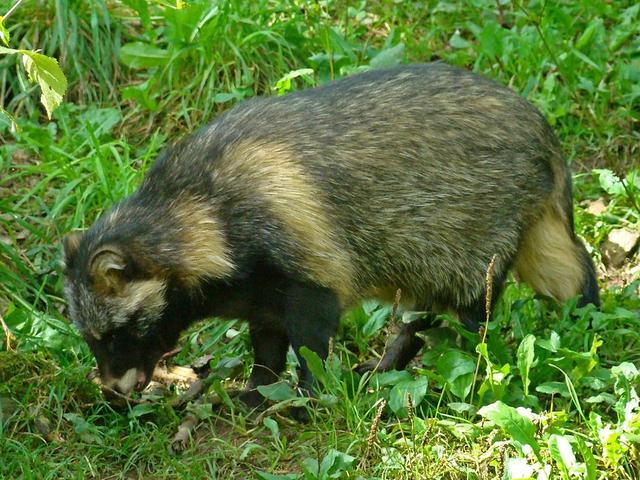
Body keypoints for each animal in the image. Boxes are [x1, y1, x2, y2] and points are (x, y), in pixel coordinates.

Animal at [62, 62, 596, 402]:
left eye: (116, 333)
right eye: (90, 337)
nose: (111, 390)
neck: (191, 208)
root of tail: (541, 128)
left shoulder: (295, 245)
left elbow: (311, 331)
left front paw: (308, 393)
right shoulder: (256, 285)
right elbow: (267, 335)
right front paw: (258, 386)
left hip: (478, 218)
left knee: (478, 303)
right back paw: (401, 350)